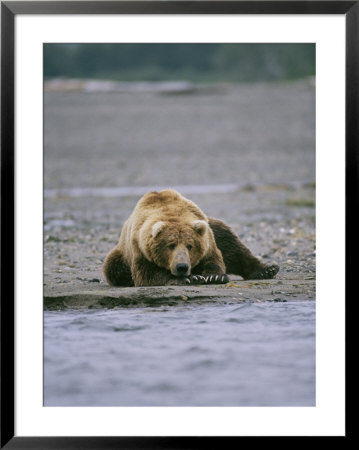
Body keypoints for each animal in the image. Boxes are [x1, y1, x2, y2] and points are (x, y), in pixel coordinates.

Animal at [102, 188, 280, 286]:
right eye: (171, 245)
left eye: (190, 246)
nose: (182, 267)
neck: (167, 209)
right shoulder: (140, 249)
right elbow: (148, 274)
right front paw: (189, 279)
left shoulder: (208, 237)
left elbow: (215, 257)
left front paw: (213, 276)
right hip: (120, 256)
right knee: (114, 268)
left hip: (215, 226)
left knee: (232, 246)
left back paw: (267, 270)